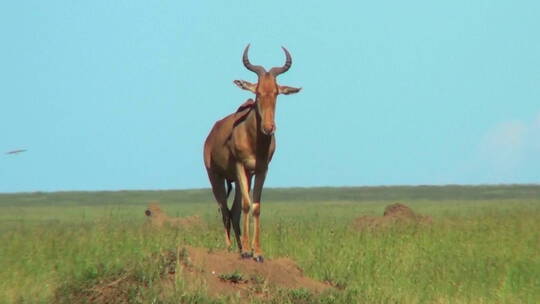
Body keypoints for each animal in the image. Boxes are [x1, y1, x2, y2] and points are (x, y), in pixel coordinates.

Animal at [205, 44, 302, 262]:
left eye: (276, 92)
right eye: (257, 91)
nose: (268, 128)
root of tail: (211, 133)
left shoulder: (261, 170)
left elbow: (255, 206)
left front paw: (257, 252)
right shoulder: (240, 165)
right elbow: (247, 205)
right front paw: (249, 252)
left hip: (242, 178)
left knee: (234, 211)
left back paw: (241, 247)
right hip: (216, 176)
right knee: (224, 209)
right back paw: (230, 248)